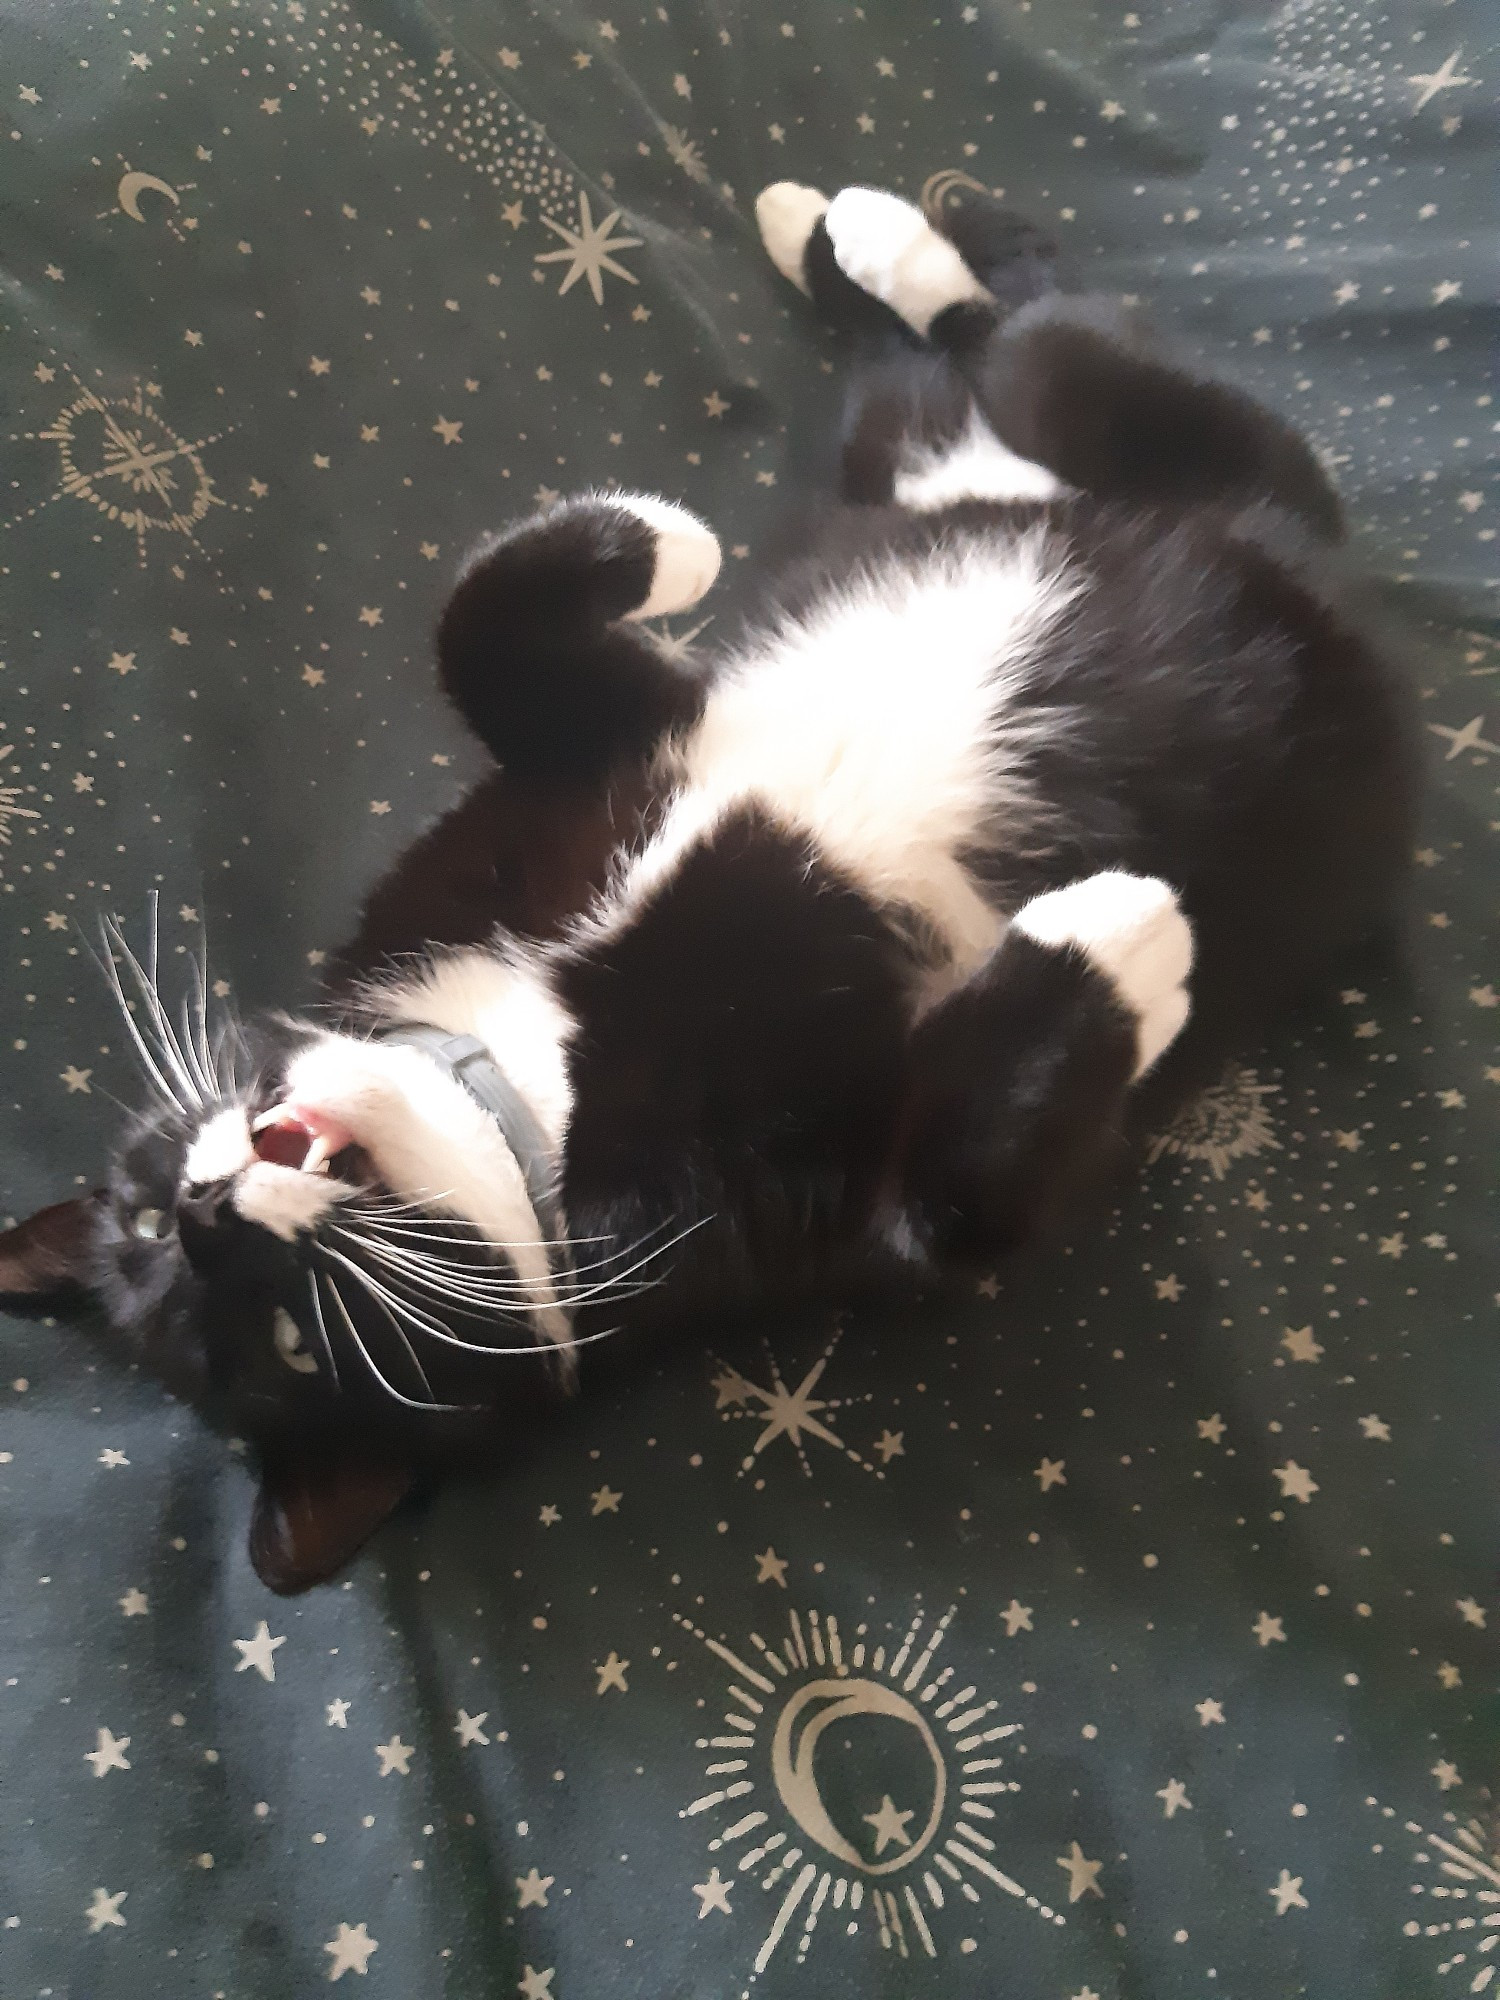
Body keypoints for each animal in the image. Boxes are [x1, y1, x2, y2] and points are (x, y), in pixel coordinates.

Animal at [0, 188, 1424, 1592]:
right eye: (291, 1342)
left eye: (138, 1214)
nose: (204, 1205)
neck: (518, 1078)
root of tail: (1323, 582)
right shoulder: (808, 1228)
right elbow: (961, 1182)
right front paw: (1124, 926)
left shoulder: (548, 796)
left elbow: (480, 633)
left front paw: (666, 548)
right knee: (1062, 363)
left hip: (1026, 461)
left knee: (997, 370)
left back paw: (849, 232)